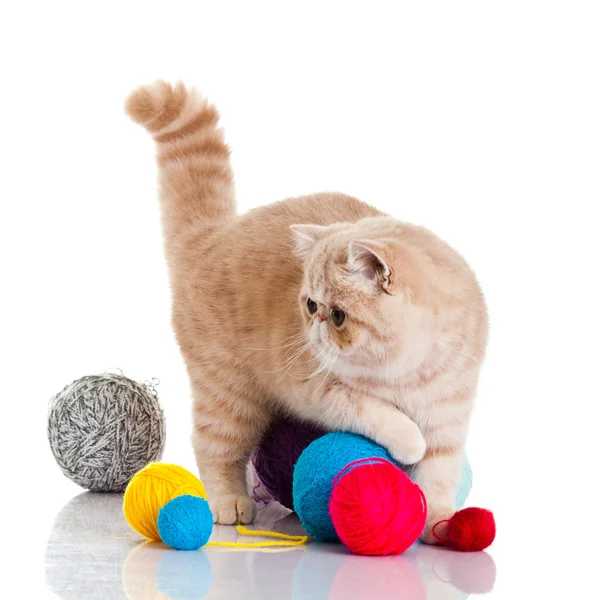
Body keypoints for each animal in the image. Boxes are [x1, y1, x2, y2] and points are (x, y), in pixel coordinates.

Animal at [126, 82, 488, 548]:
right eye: (310, 305)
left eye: (336, 314)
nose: (313, 328)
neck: (410, 372)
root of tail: (214, 234)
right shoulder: (323, 391)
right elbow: (385, 417)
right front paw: (409, 443)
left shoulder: (449, 415)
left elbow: (439, 472)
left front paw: (439, 522)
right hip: (228, 392)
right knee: (215, 446)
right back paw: (228, 501)